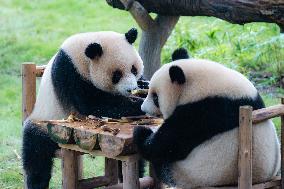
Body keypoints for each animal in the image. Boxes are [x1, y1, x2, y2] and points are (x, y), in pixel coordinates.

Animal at [134, 48, 280, 188]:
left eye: (155, 97)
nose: (143, 109)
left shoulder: (205, 111)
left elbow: (170, 142)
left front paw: (142, 133)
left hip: (194, 173)